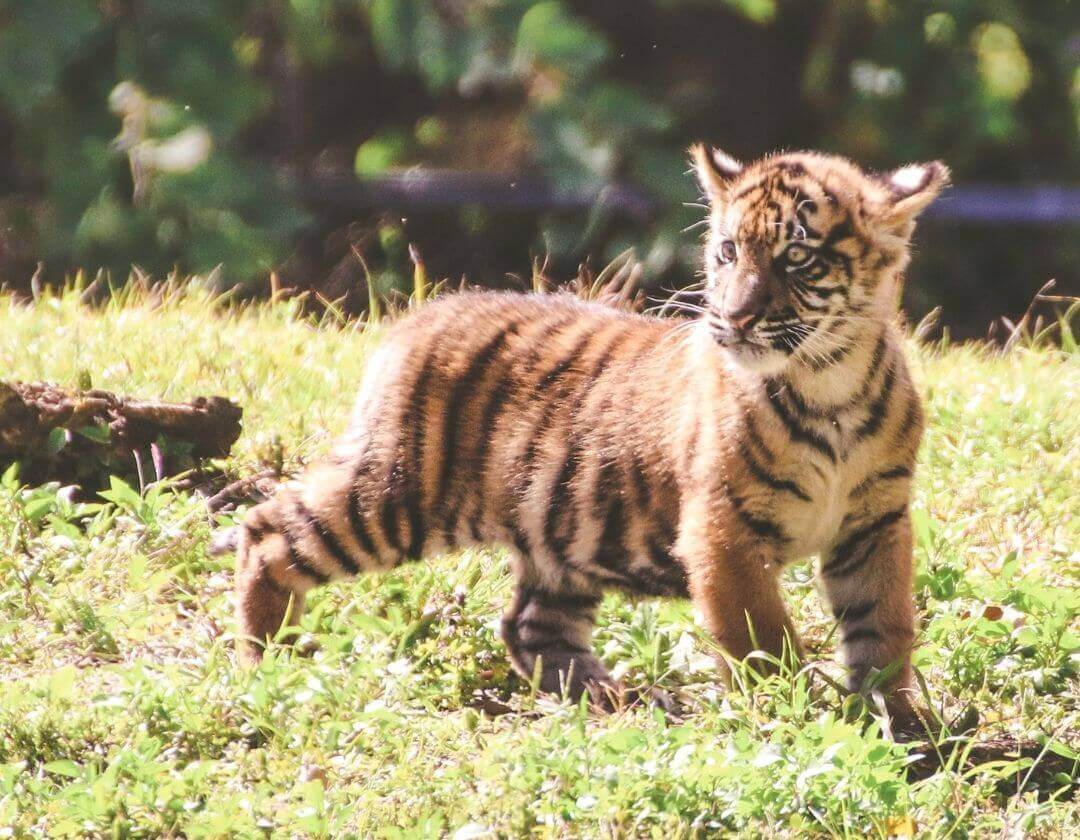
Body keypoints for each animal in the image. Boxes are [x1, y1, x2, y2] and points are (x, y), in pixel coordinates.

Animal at [231, 145, 948, 723]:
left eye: (798, 256)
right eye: (728, 251)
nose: (735, 317)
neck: (830, 385)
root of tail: (420, 314)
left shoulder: (875, 523)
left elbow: (883, 625)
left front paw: (899, 717)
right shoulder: (723, 531)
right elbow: (762, 637)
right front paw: (790, 712)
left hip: (557, 538)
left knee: (528, 627)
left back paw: (617, 700)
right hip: (396, 494)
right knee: (268, 532)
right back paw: (268, 663)